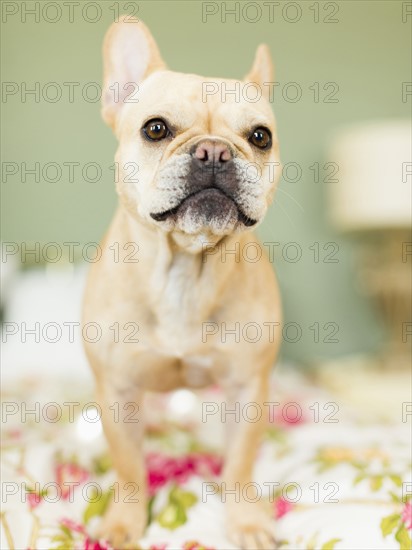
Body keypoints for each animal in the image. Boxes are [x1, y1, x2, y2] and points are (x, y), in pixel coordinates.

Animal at [83, 17, 284, 550]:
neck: (185, 267)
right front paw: (124, 522)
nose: (214, 151)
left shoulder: (246, 389)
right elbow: (129, 467)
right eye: (155, 129)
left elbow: (239, 463)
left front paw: (245, 520)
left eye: (260, 136)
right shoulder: (119, 392)